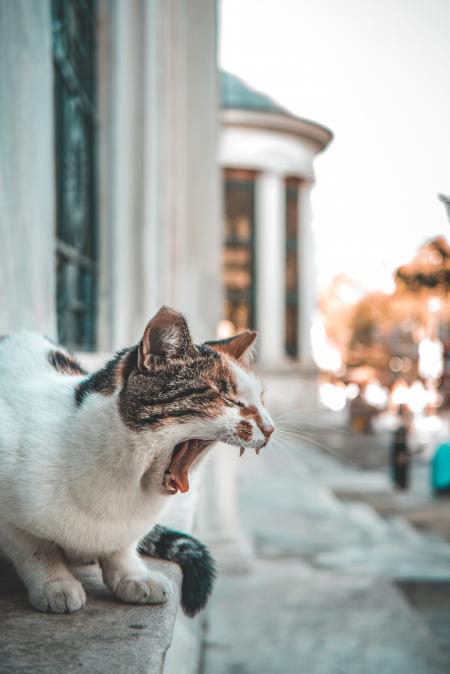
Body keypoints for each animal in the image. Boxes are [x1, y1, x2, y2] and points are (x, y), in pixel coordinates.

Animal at [0, 308, 274, 612]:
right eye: (228, 398)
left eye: (261, 400)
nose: (270, 428)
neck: (124, 485)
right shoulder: (9, 518)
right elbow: (35, 549)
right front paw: (55, 583)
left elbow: (121, 548)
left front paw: (132, 576)